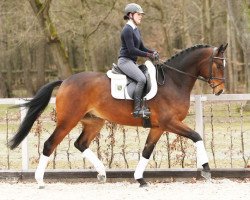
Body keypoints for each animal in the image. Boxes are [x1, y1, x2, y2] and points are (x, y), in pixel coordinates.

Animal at [7, 43, 228, 188]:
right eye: (218, 65)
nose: (220, 90)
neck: (174, 80)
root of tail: (66, 81)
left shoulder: (158, 127)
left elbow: (146, 151)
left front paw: (140, 179)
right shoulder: (170, 123)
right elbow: (197, 136)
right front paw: (206, 169)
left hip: (94, 122)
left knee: (80, 144)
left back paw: (102, 173)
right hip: (68, 120)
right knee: (49, 144)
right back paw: (40, 180)